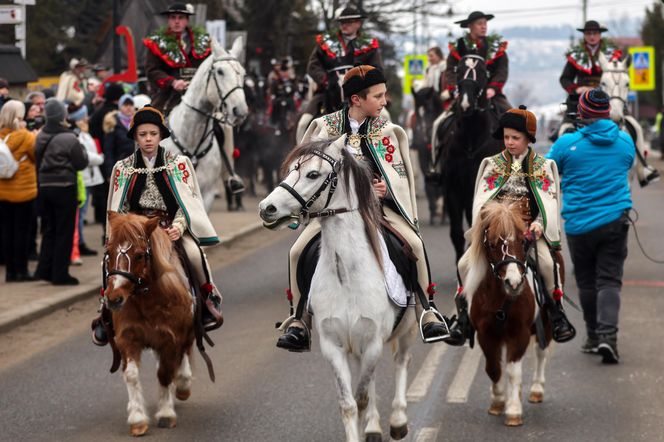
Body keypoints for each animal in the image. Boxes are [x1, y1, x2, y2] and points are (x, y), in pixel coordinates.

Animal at [104, 212, 196, 436]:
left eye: (139, 255)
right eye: (108, 252)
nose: (114, 299)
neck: (148, 299)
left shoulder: (171, 338)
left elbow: (164, 373)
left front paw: (165, 414)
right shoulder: (128, 338)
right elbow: (131, 375)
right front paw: (137, 419)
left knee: (184, 352)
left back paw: (182, 384)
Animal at [260, 138, 416, 442]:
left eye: (312, 174)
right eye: (292, 169)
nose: (267, 207)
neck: (347, 273)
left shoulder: (373, 341)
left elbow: (362, 396)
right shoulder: (334, 345)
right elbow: (349, 403)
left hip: (406, 329)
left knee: (402, 360)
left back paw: (398, 420)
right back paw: (375, 426)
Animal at [434, 55, 500, 262]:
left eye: (482, 72)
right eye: (458, 71)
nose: (465, 104)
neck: (471, 141)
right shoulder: (453, 191)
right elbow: (456, 233)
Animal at [464, 202, 556, 426]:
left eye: (523, 241)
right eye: (492, 244)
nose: (513, 283)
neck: (499, 299)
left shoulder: (518, 333)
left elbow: (513, 371)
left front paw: (513, 410)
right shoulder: (486, 335)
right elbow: (493, 368)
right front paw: (498, 402)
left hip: (546, 322)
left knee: (541, 351)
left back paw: (536, 389)